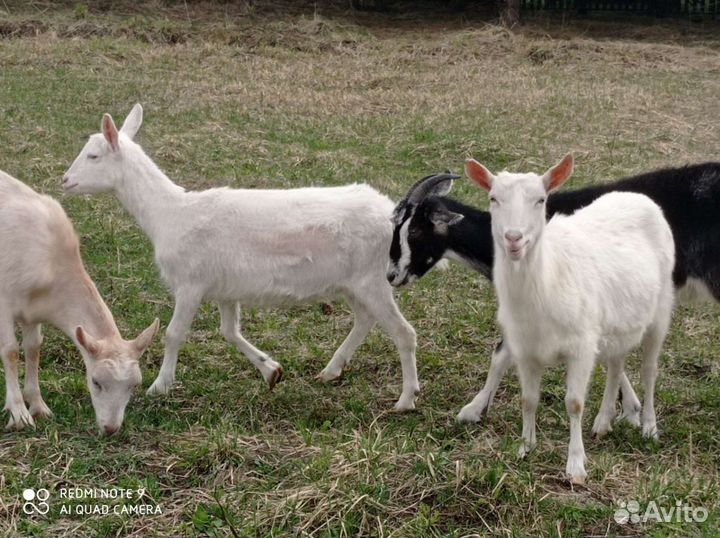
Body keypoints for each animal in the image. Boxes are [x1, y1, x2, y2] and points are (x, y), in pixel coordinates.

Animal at [0, 169, 158, 434]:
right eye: (96, 382)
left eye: (133, 385)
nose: (111, 428)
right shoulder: (4, 301)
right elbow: (10, 351)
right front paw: (19, 414)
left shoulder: (33, 311)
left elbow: (33, 348)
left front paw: (38, 406)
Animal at [63, 104, 420, 411]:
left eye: (93, 155)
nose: (65, 180)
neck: (171, 214)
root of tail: (392, 213)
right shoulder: (225, 288)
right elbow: (229, 331)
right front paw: (271, 370)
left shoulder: (191, 282)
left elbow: (174, 333)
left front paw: (159, 386)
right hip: (354, 283)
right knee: (365, 319)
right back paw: (331, 370)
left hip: (372, 278)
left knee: (404, 332)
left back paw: (406, 400)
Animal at [388, 162, 720, 423]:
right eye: (395, 226)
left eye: (414, 230)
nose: (392, 275)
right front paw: (629, 408)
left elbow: (501, 353)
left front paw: (472, 409)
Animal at [468, 154, 674, 483]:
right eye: (493, 198)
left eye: (541, 200)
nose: (513, 238)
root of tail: (639, 197)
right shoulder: (525, 349)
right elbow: (529, 399)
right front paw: (525, 447)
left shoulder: (581, 345)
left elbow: (574, 403)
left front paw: (576, 466)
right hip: (616, 322)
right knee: (616, 363)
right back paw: (603, 422)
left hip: (660, 309)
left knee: (648, 370)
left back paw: (649, 427)